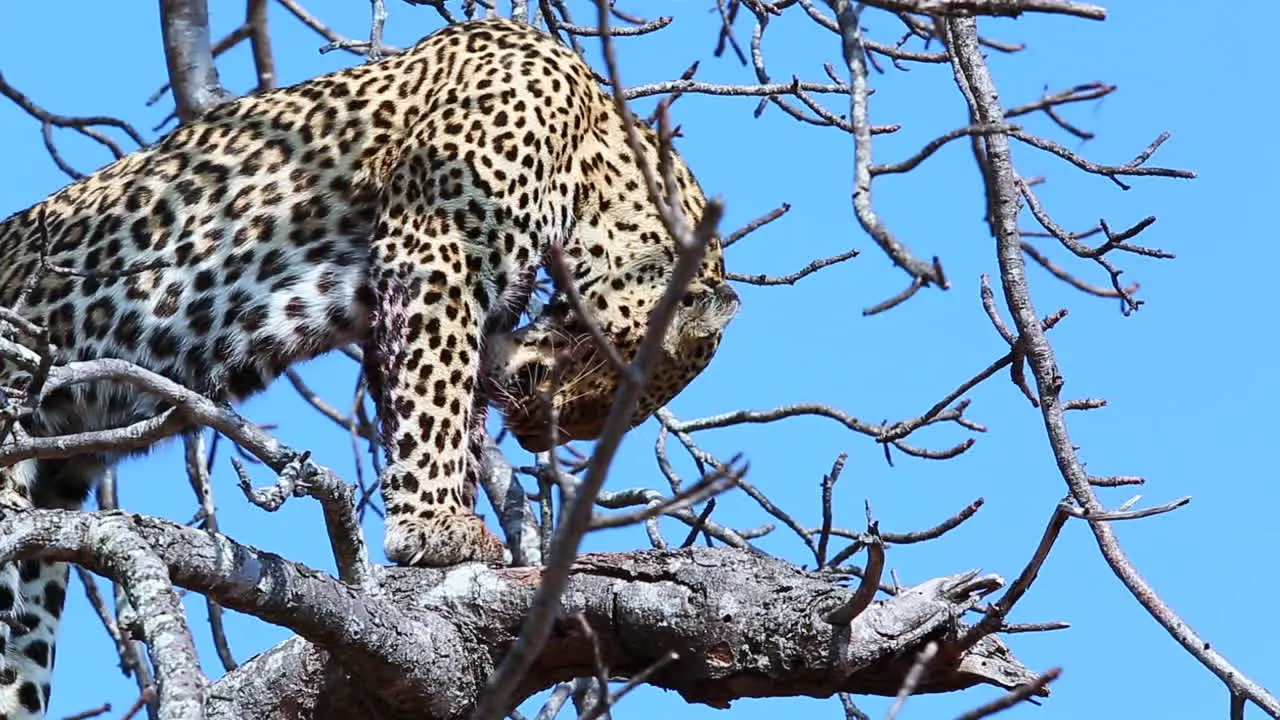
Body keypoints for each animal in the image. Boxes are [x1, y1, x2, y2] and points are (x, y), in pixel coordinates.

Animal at [0, 16, 742, 717]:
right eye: (620, 382)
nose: (535, 437)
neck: (594, 154)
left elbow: (431, 401)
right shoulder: (435, 248)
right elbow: (438, 395)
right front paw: (435, 530)